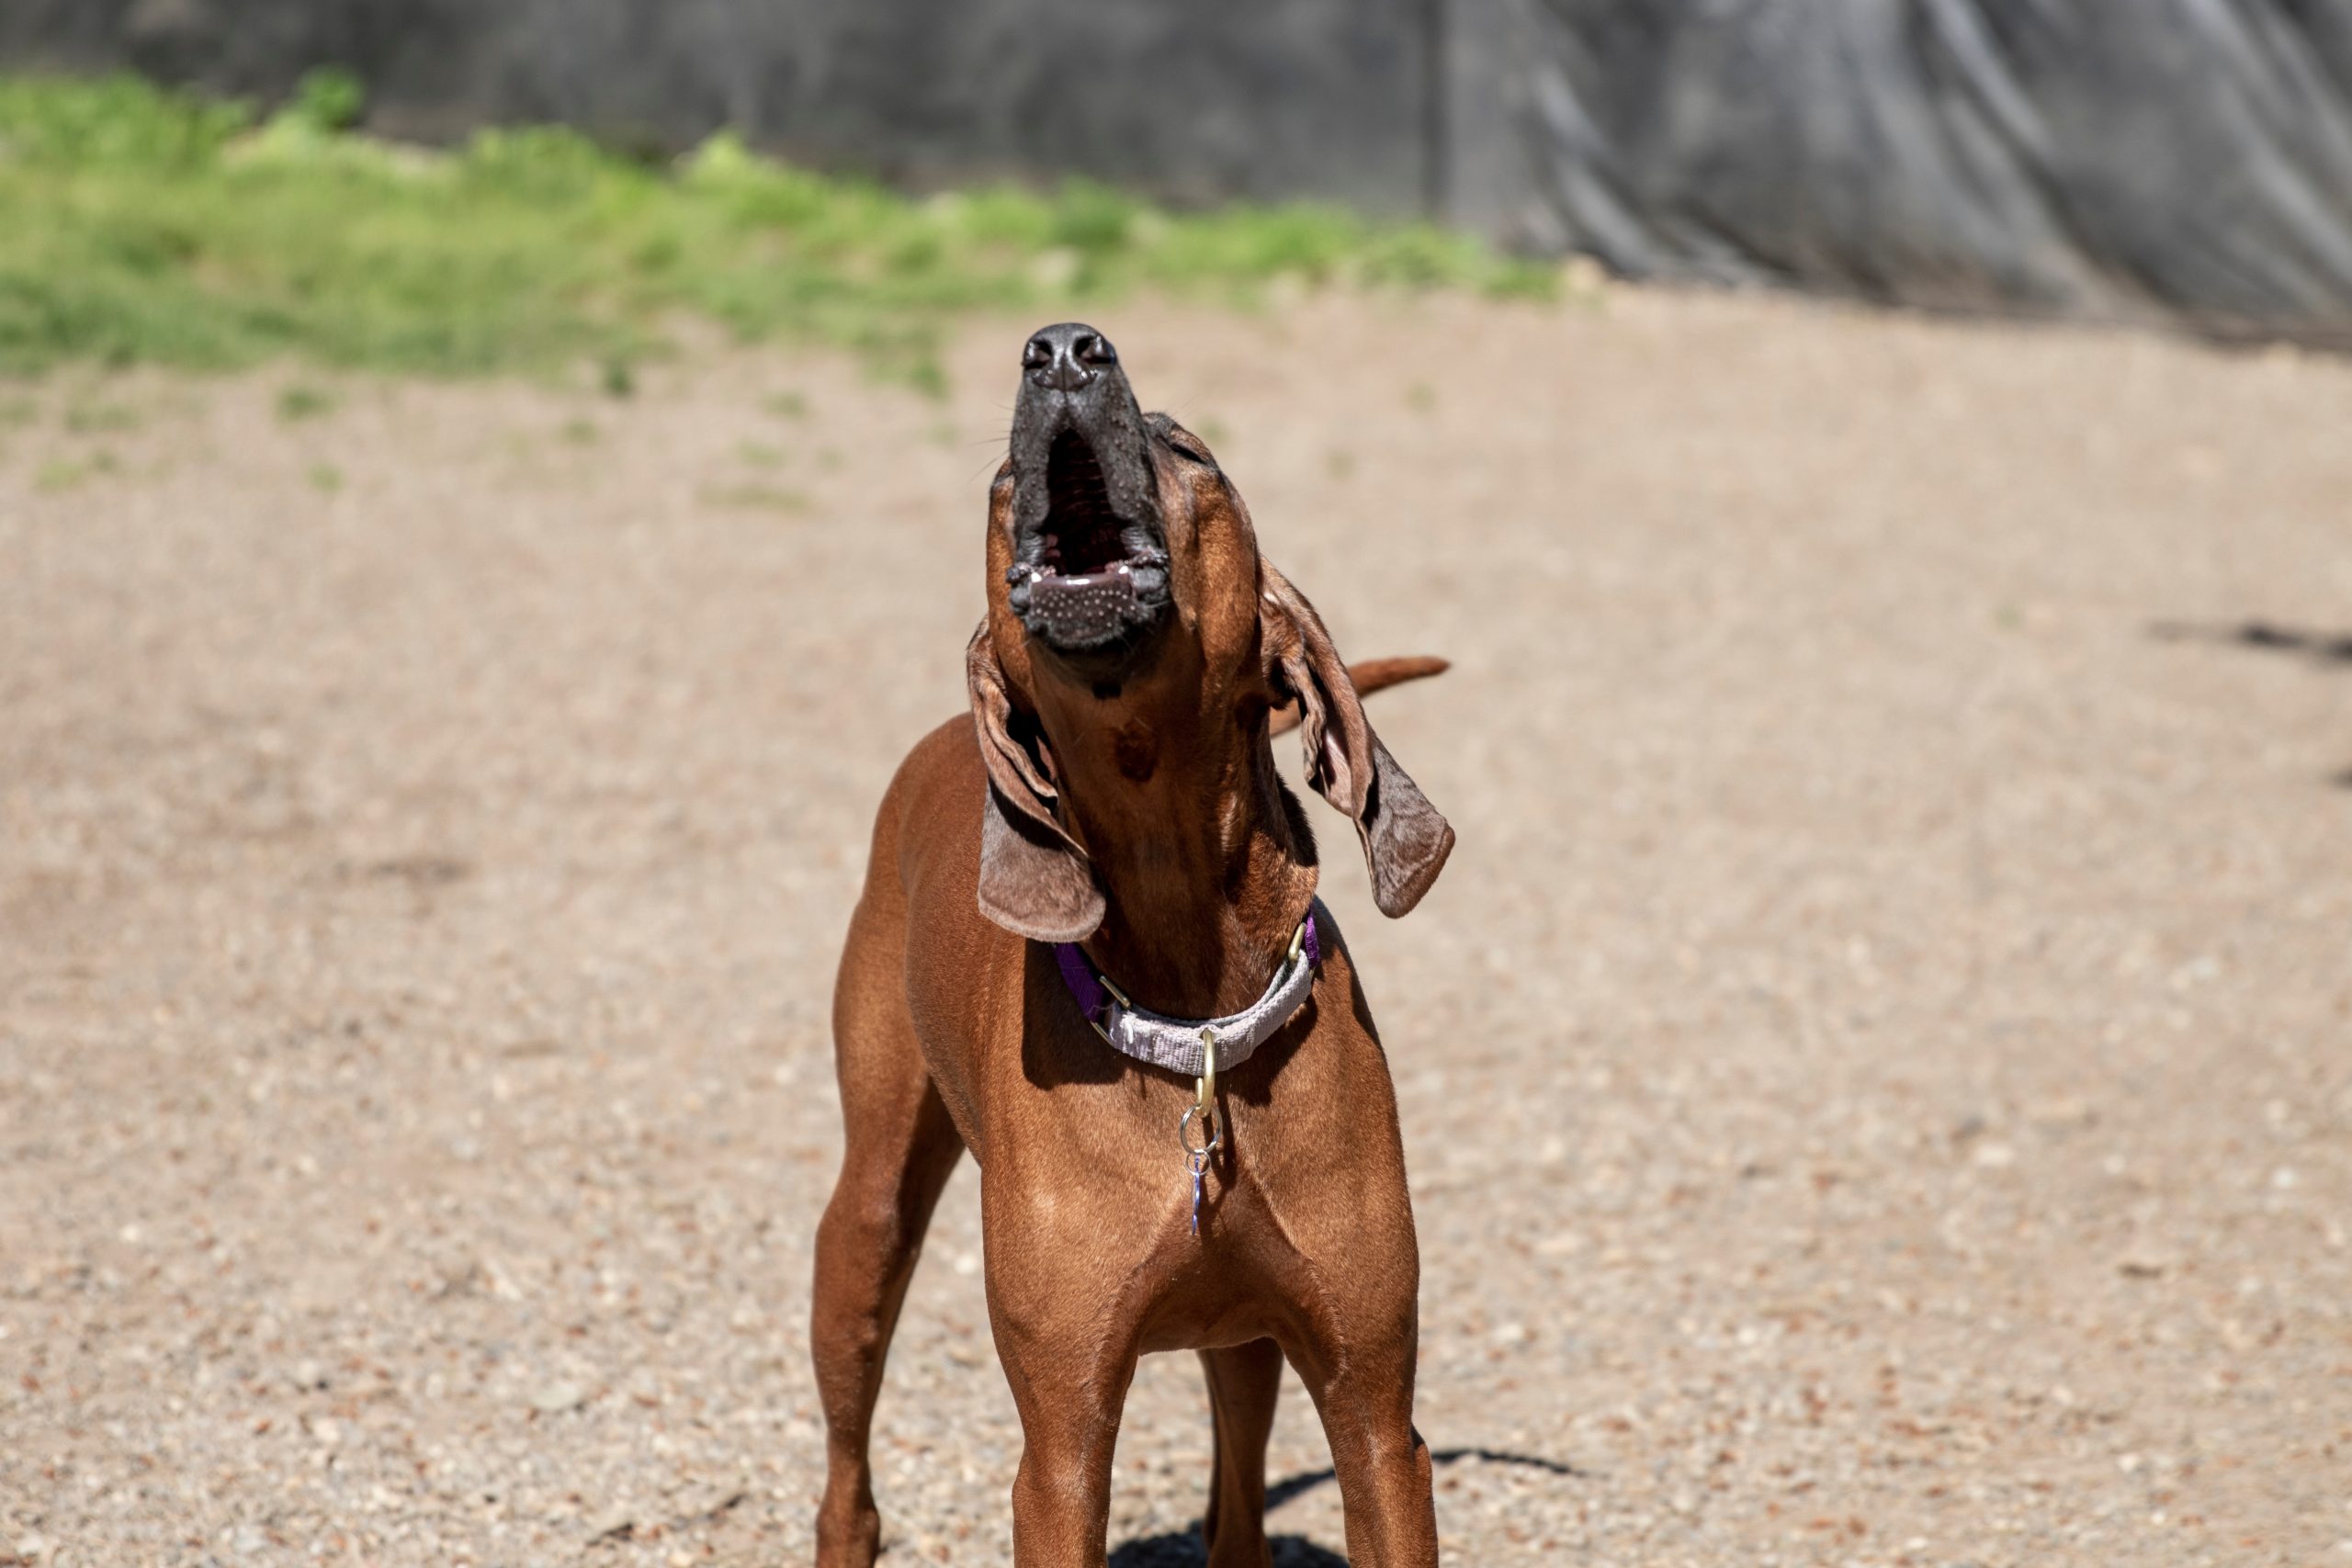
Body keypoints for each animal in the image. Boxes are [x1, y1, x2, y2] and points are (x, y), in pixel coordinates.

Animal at [818, 324, 1458, 1561]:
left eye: (1187, 450)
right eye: (1000, 481)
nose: (1063, 349)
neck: (1195, 1017)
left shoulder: (1376, 1419)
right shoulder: (1060, 1452)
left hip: (1244, 1336)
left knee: (1237, 1495)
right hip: (866, 1219)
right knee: (846, 1477)